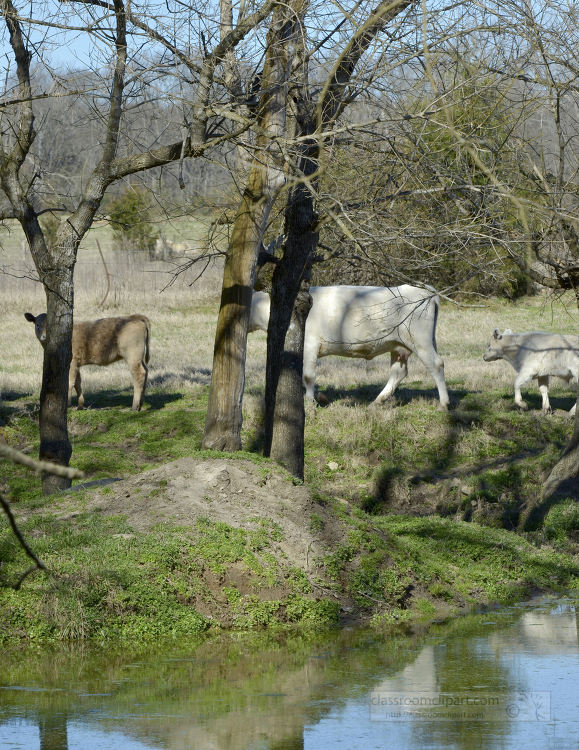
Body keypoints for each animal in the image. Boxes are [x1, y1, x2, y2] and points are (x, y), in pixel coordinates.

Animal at [24, 314, 152, 414]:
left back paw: (134, 406)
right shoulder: (76, 364)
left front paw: (67, 404)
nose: (44, 336)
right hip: (138, 357)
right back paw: (140, 404)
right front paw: (80, 405)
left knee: (139, 374)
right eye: (38, 325)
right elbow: (78, 383)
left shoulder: (72, 363)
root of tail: (134, 317)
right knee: (145, 371)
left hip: (132, 355)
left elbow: (70, 383)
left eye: (50, 326)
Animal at [248, 284, 448, 412]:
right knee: (398, 373)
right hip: (398, 346)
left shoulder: (310, 344)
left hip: (420, 340)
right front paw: (320, 397)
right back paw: (377, 402)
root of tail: (424, 290)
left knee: (436, 365)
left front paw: (310, 403)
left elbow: (308, 376)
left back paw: (443, 404)